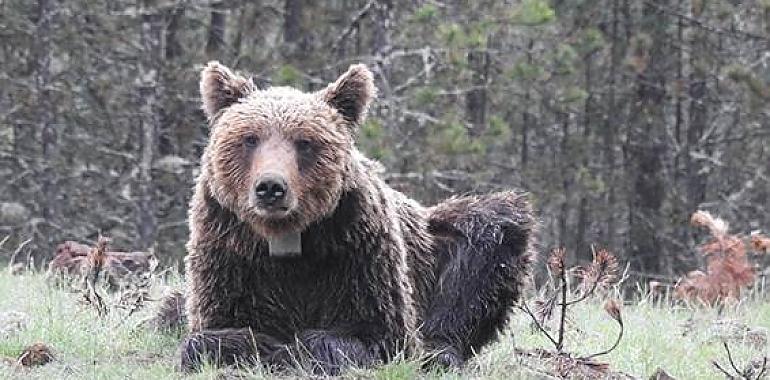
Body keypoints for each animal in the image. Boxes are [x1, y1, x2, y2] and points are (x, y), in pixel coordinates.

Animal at [176, 60, 532, 372]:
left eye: (304, 142)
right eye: (249, 138)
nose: (271, 188)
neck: (287, 237)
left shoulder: (356, 249)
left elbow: (374, 332)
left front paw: (301, 348)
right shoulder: (232, 255)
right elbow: (211, 334)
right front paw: (262, 345)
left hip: (441, 246)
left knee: (487, 243)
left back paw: (441, 351)